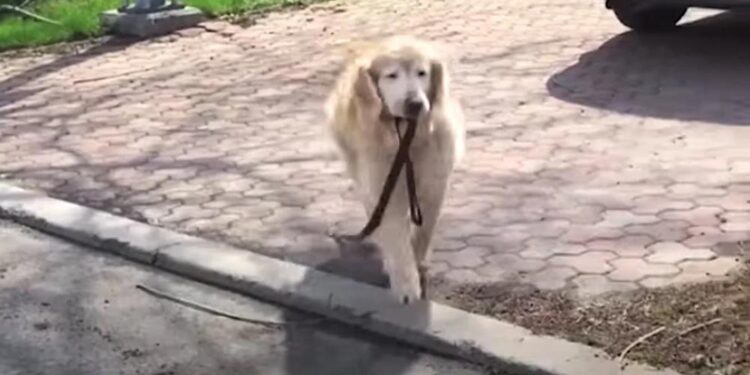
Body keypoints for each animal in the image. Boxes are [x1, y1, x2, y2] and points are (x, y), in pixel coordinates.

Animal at [328, 36, 468, 306]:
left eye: (422, 73)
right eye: (391, 75)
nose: (415, 104)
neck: (404, 137)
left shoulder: (434, 184)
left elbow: (424, 230)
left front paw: (418, 262)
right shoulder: (385, 185)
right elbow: (395, 236)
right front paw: (406, 285)